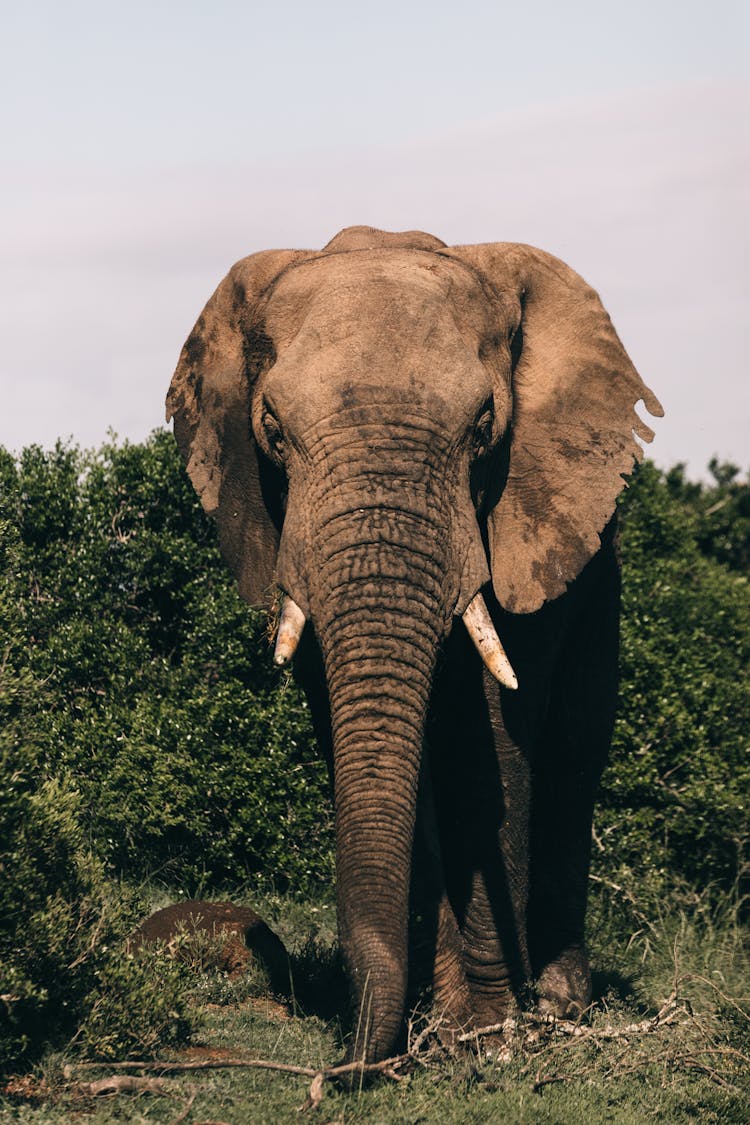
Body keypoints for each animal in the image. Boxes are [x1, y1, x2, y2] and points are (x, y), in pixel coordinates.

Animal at [165, 226, 661, 1062]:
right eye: (273, 433)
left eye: (484, 428)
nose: (350, 1066)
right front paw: (440, 1023)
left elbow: (490, 748)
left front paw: (484, 1030)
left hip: (601, 574)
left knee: (573, 752)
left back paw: (559, 1001)